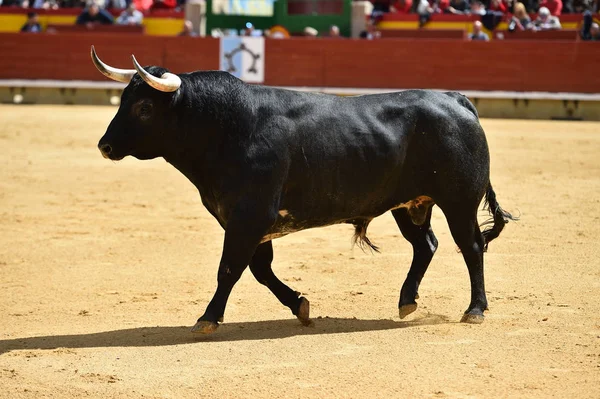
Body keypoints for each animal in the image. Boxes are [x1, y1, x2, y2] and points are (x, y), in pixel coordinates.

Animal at [94, 52, 516, 334]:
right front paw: (300, 306)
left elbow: (230, 268)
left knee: (472, 246)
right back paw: (407, 301)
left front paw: (207, 318)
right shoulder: (248, 222)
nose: (105, 146)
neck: (228, 129)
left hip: (458, 200)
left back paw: (475, 310)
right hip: (411, 204)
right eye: (123, 101)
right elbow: (259, 270)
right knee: (425, 244)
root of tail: (455, 99)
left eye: (144, 107)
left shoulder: (250, 216)